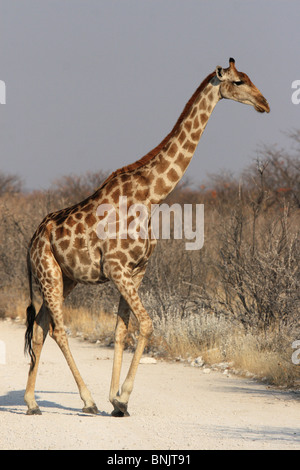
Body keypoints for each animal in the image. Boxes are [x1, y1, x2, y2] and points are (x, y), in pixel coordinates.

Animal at [24, 57, 270, 414]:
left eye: (249, 78)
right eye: (238, 82)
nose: (265, 104)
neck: (152, 196)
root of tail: (32, 240)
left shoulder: (136, 270)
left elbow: (121, 330)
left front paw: (116, 400)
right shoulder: (116, 269)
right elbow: (148, 324)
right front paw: (122, 397)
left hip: (64, 278)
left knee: (40, 328)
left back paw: (31, 401)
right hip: (49, 273)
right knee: (58, 330)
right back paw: (87, 400)